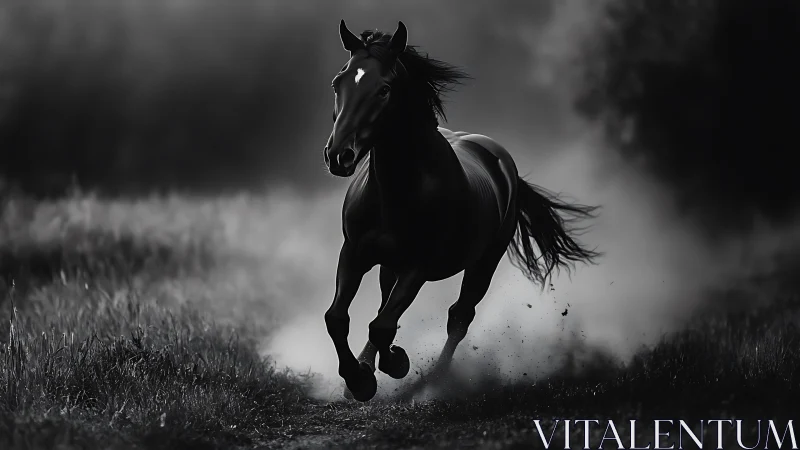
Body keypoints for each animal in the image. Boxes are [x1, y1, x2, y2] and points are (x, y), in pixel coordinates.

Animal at [322, 20, 601, 402]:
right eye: (339, 82)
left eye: (384, 89)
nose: (339, 156)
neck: (398, 189)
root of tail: (501, 161)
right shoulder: (354, 253)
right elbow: (338, 318)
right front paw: (359, 378)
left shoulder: (418, 265)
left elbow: (382, 326)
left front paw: (389, 367)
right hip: (389, 264)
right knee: (386, 306)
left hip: (485, 261)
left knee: (459, 316)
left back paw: (431, 381)